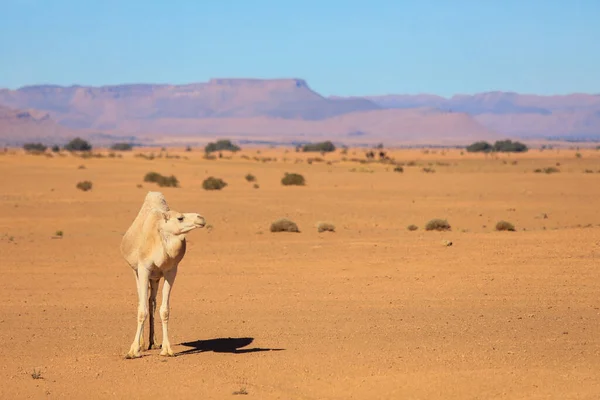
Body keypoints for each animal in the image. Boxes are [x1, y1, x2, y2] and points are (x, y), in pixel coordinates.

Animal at [120, 191, 207, 360]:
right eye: (180, 218)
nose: (201, 218)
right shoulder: (143, 268)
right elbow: (142, 310)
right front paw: (133, 351)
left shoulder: (170, 271)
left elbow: (164, 310)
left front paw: (166, 350)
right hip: (136, 272)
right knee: (142, 302)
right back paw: (142, 344)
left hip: (155, 278)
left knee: (151, 302)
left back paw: (153, 342)